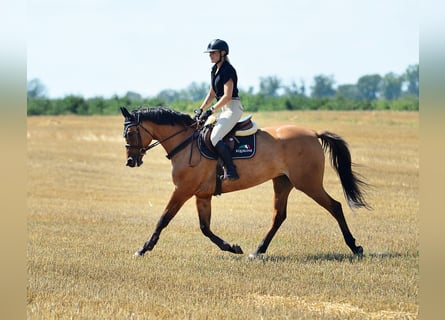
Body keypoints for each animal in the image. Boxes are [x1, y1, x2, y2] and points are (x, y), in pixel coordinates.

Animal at [119, 106, 370, 258]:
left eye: (130, 133)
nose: (130, 161)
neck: (185, 143)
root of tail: (312, 132)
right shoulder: (202, 195)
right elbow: (205, 228)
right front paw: (232, 247)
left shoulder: (183, 190)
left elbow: (163, 219)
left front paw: (143, 248)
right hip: (282, 182)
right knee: (279, 216)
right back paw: (258, 251)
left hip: (308, 183)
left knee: (335, 206)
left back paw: (355, 246)